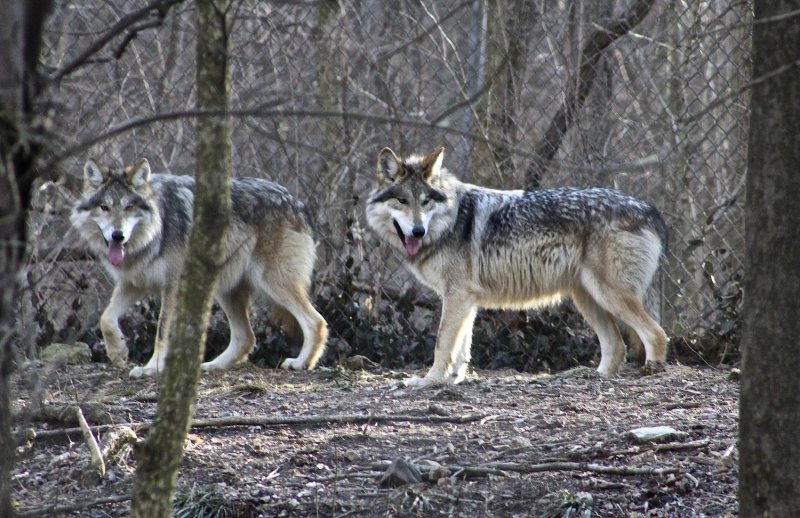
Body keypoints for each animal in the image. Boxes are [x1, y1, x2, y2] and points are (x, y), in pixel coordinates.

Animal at [71, 157, 328, 378]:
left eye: (128, 207)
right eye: (104, 207)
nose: (118, 236)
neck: (156, 230)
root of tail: (298, 203)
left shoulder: (173, 285)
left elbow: (161, 331)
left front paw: (152, 368)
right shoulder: (133, 282)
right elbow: (106, 318)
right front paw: (118, 352)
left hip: (272, 282)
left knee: (315, 322)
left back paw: (301, 363)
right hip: (226, 288)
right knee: (246, 338)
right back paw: (212, 366)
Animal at [368, 148, 668, 388]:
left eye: (425, 201)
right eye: (402, 201)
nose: (418, 231)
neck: (451, 221)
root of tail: (649, 210)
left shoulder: (457, 296)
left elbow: (443, 344)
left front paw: (429, 381)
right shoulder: (465, 300)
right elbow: (462, 348)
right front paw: (453, 380)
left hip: (609, 295)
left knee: (656, 334)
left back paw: (652, 373)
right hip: (588, 299)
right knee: (616, 347)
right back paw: (596, 378)